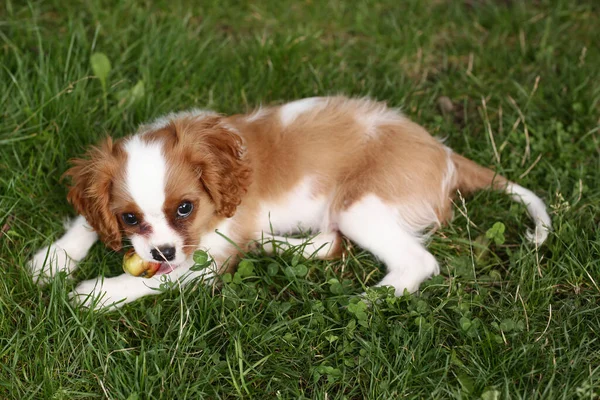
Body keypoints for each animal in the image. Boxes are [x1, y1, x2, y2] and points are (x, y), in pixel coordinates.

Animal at [30, 97, 552, 310]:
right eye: (129, 217)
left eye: (185, 208)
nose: (160, 252)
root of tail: (443, 152)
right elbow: (87, 220)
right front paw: (53, 259)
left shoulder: (207, 257)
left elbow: (155, 281)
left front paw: (97, 293)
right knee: (330, 243)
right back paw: (277, 247)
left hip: (359, 205)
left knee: (417, 262)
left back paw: (369, 300)